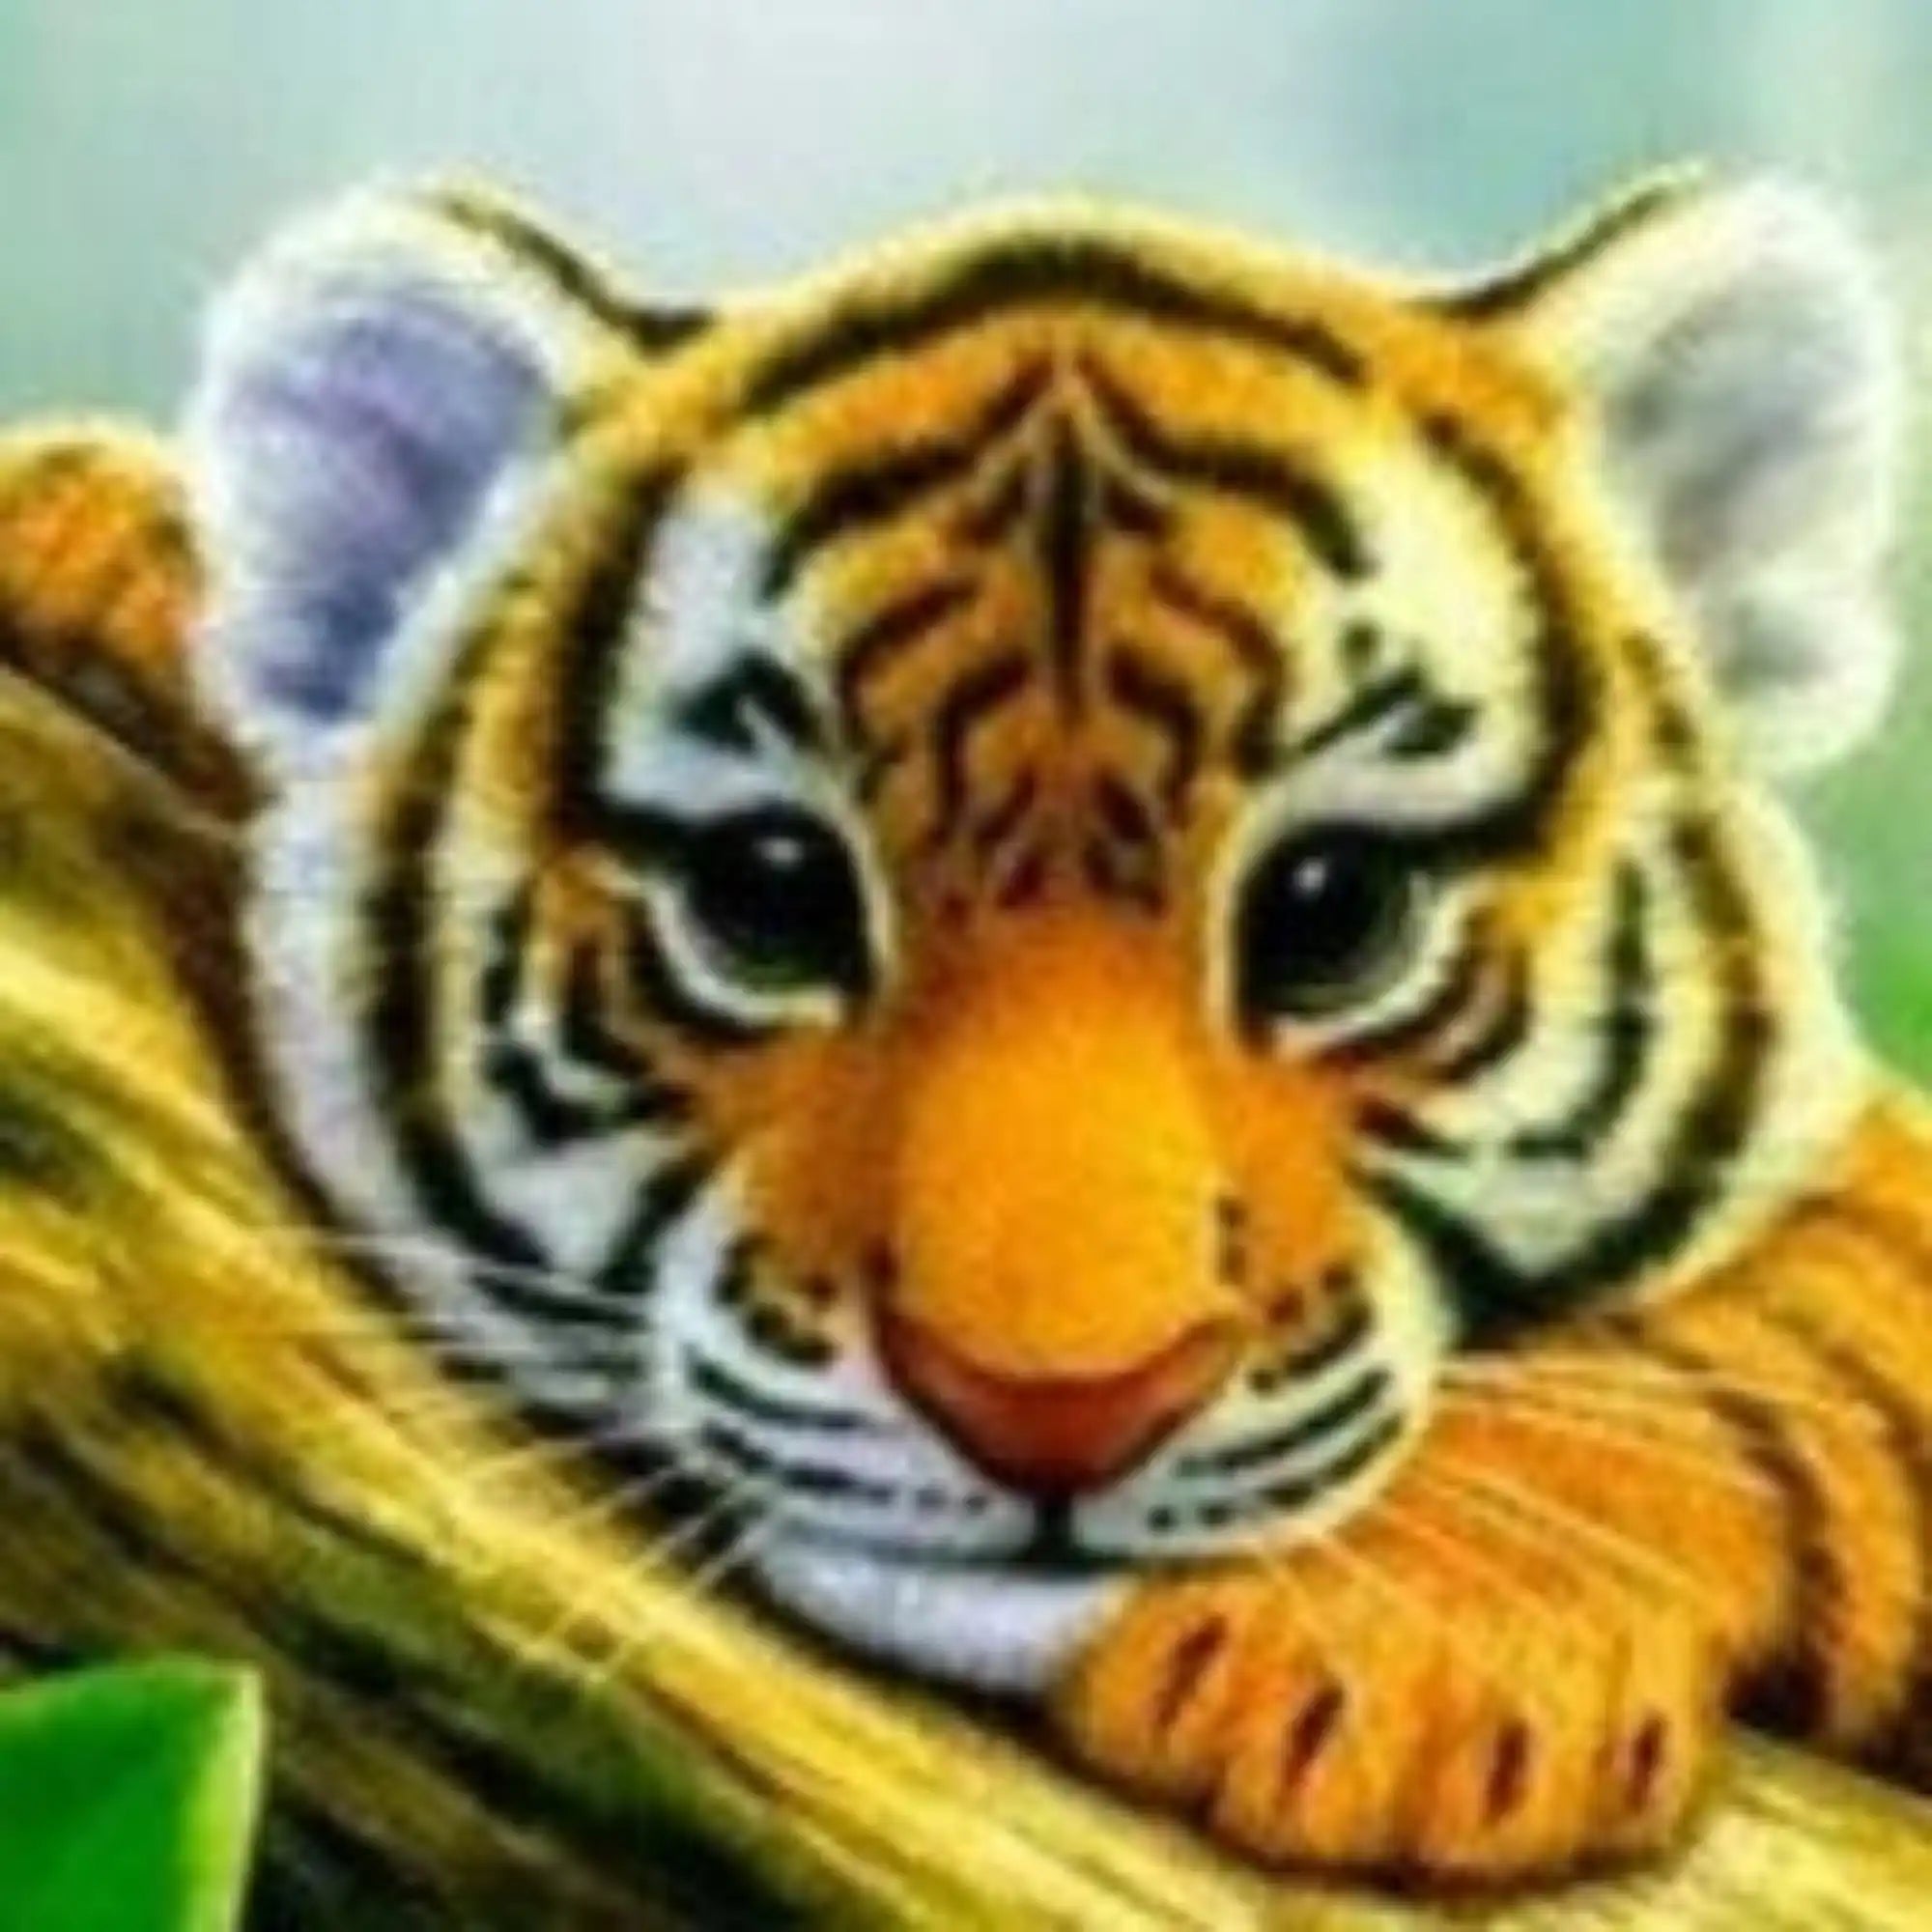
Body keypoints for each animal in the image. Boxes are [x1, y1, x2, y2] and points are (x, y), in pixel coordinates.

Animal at [5, 161, 1932, 1909]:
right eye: (769, 893)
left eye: (1334, 913)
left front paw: (1399, 1652)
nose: (1055, 1413)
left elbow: (1757, 1345)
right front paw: (107, 542)